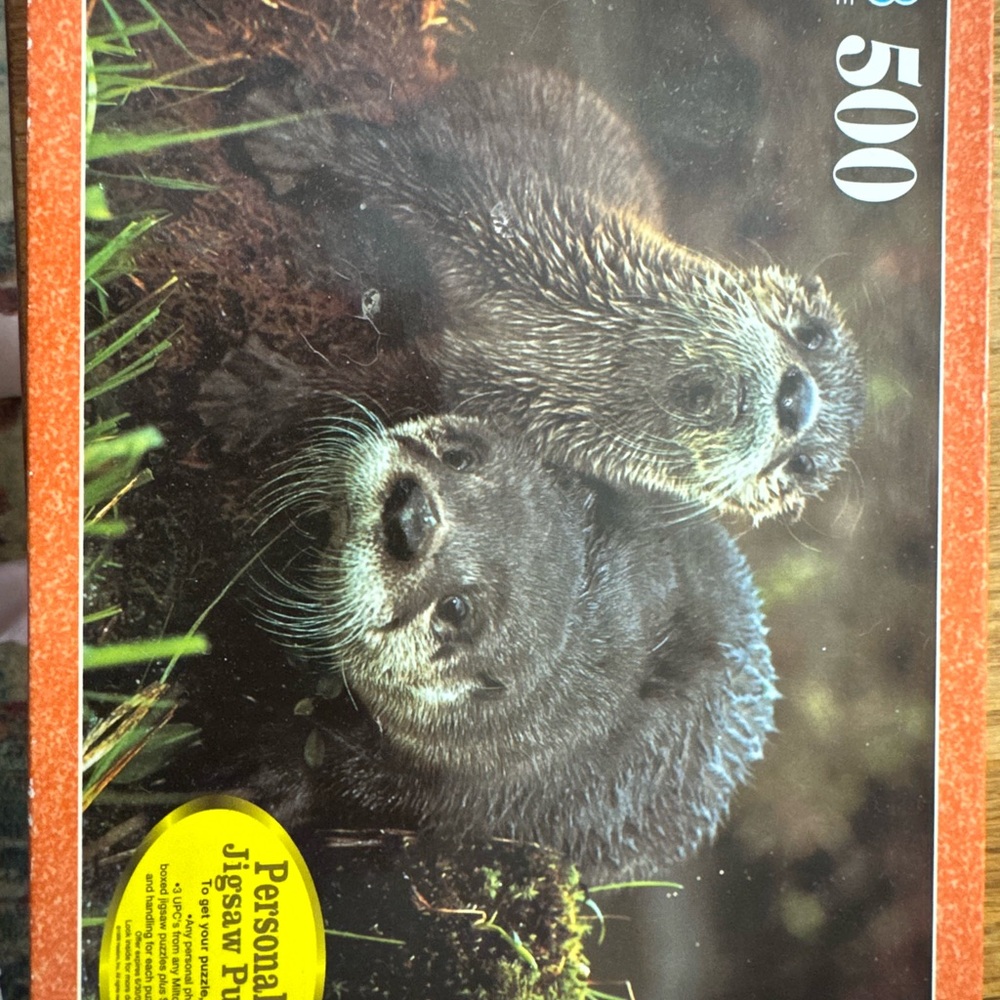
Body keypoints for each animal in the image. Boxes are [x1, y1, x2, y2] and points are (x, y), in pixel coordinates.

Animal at [235, 64, 864, 521]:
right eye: (812, 333)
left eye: (804, 465)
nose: (797, 399)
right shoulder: (525, 220)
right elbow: (415, 170)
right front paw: (294, 133)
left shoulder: (498, 403)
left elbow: (381, 395)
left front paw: (265, 394)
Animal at [246, 413, 777, 879]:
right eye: (459, 457)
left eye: (456, 609)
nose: (410, 516)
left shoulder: (481, 790)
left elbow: (370, 790)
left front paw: (278, 776)